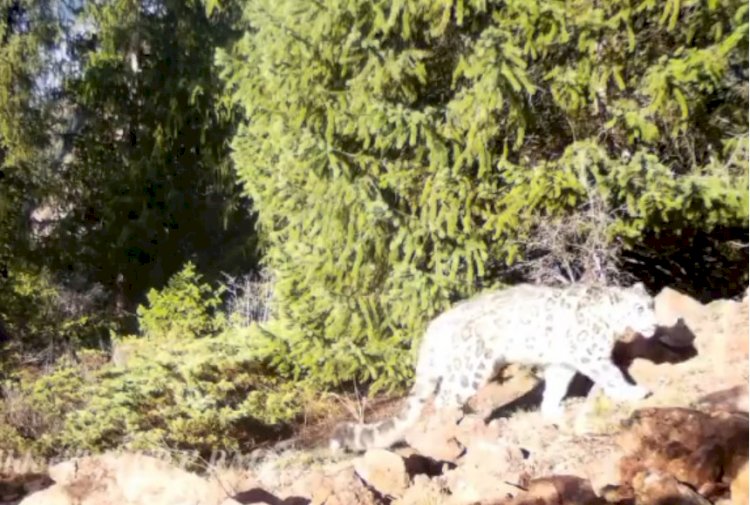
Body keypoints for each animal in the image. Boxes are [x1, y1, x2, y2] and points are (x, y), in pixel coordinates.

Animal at [332, 282, 660, 450]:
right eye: (638, 308)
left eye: (651, 304)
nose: (655, 323)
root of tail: (436, 325)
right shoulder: (590, 353)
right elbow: (612, 374)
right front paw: (636, 392)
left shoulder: (562, 361)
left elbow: (555, 385)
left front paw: (552, 410)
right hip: (470, 368)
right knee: (444, 397)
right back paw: (456, 425)